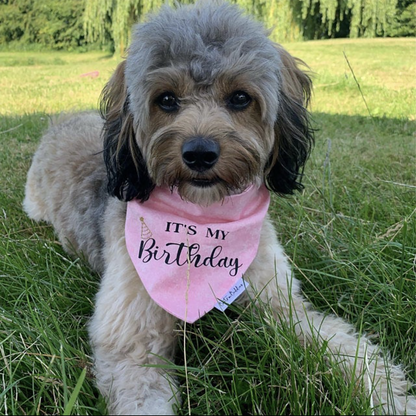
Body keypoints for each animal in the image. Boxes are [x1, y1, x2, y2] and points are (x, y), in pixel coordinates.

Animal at [23, 1, 416, 414]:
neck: (203, 222)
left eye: (240, 98)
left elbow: (346, 347)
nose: (199, 153)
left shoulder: (283, 304)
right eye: (166, 99)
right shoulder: (130, 342)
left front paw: (390, 398)